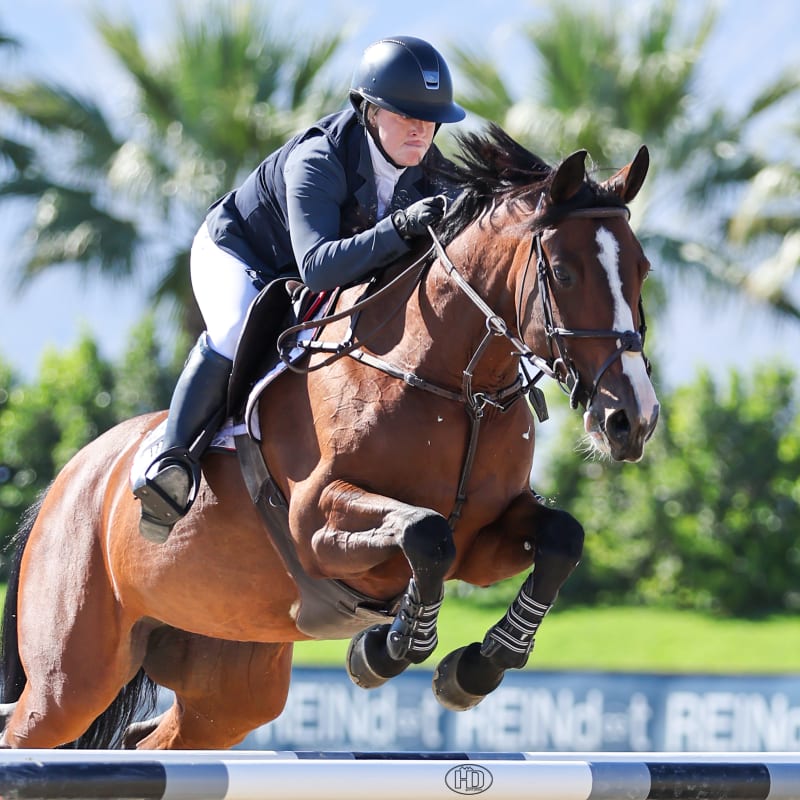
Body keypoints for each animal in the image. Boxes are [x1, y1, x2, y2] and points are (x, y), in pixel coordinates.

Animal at [3, 125, 660, 752]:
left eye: (641, 269)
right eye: (564, 272)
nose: (632, 419)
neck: (454, 387)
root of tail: (69, 479)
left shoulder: (485, 537)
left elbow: (562, 538)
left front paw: (477, 667)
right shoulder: (316, 521)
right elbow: (426, 533)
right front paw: (388, 649)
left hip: (227, 682)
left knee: (159, 738)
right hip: (70, 679)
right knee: (34, 727)